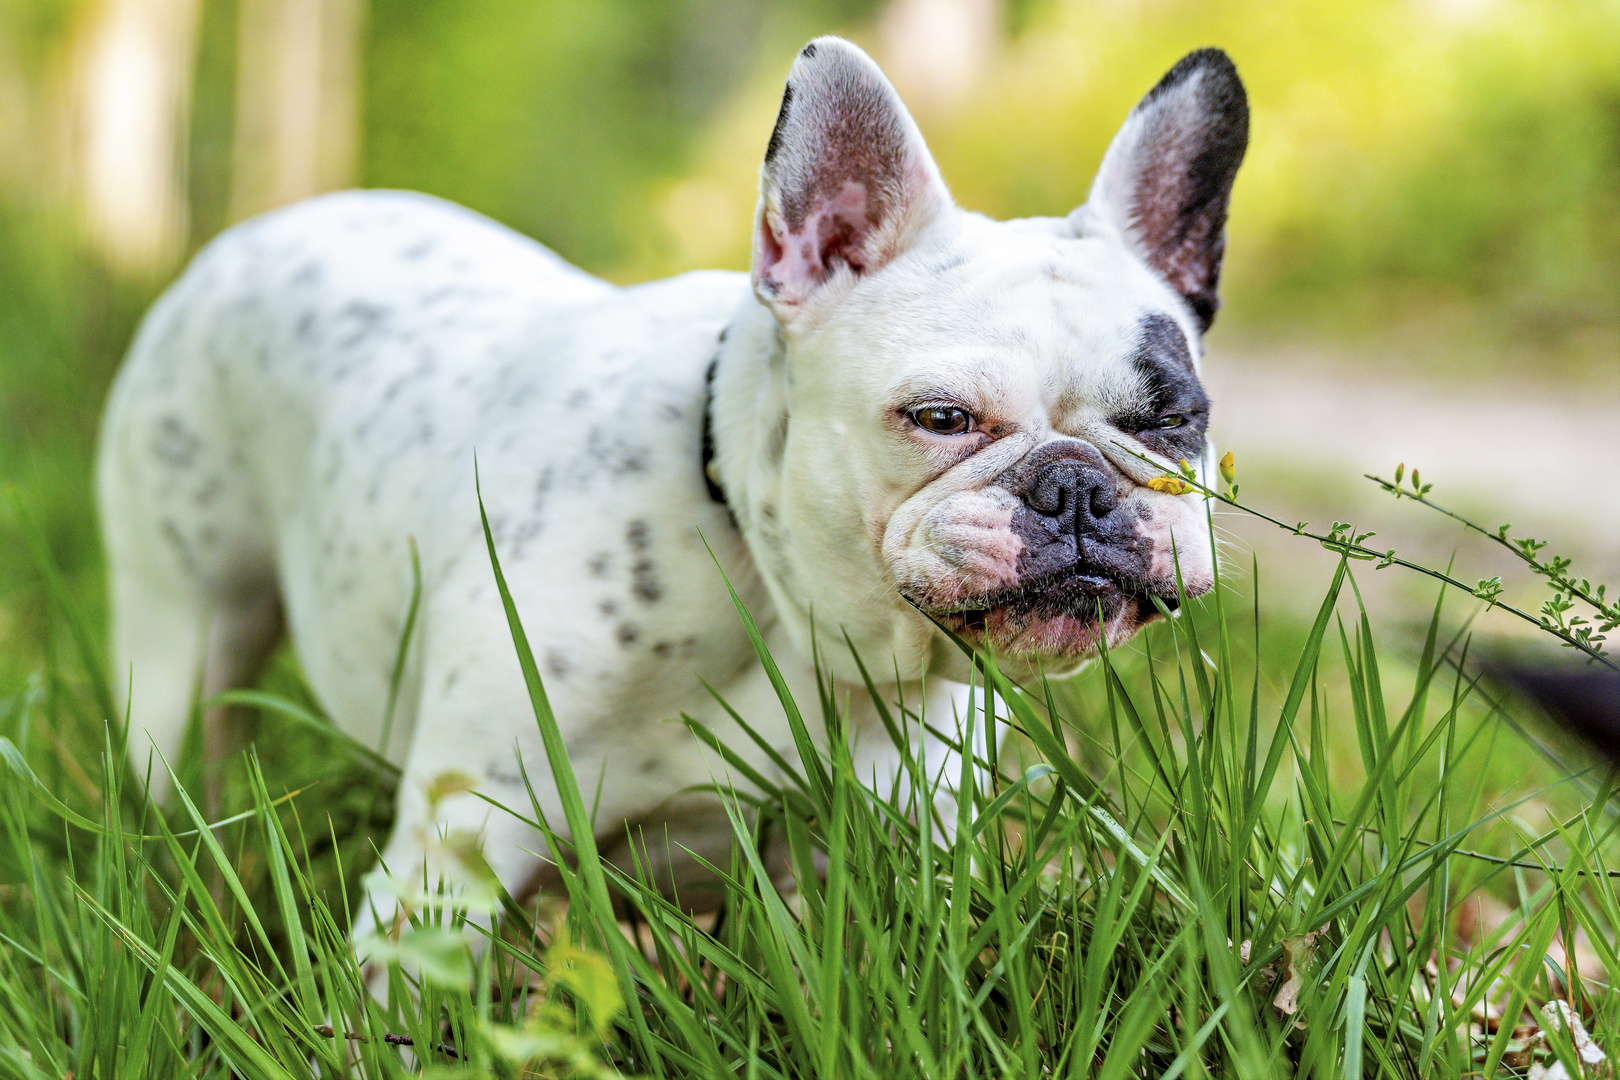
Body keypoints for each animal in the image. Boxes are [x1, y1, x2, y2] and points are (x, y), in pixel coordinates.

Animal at [94, 38, 1244, 952]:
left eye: (1171, 418)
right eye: (942, 418)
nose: (1077, 489)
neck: (784, 609)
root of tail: (257, 233)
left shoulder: (888, 838)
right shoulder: (461, 841)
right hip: (183, 634)